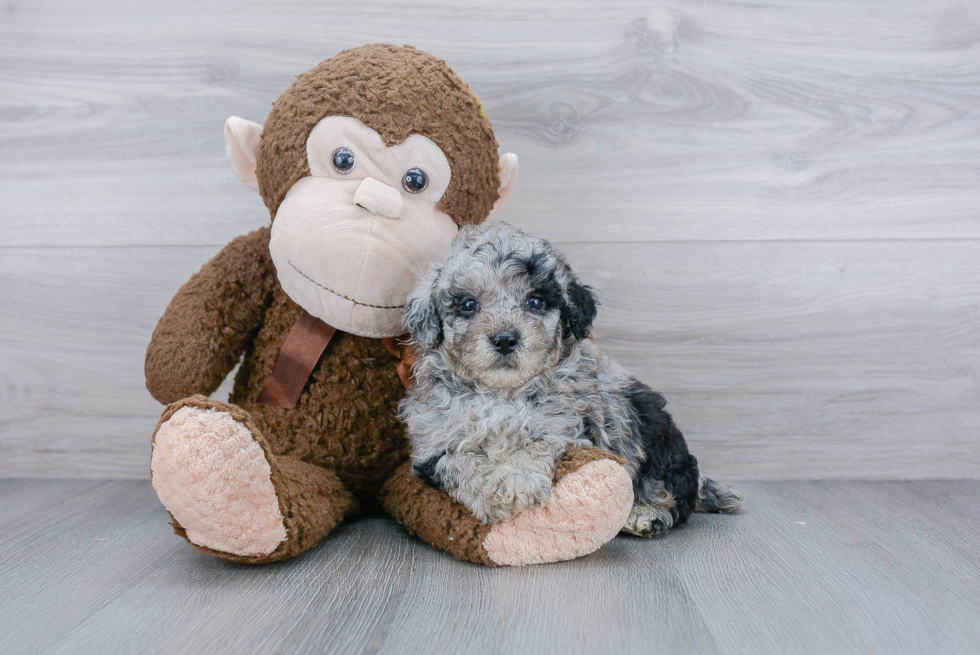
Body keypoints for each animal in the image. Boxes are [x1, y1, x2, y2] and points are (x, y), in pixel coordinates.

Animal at [400, 223, 744, 536]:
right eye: (468, 304)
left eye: (535, 302)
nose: (505, 339)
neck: (502, 395)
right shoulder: (434, 444)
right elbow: (461, 462)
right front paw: (498, 488)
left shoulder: (565, 426)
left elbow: (535, 442)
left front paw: (517, 479)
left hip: (659, 444)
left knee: (673, 497)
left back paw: (647, 515)